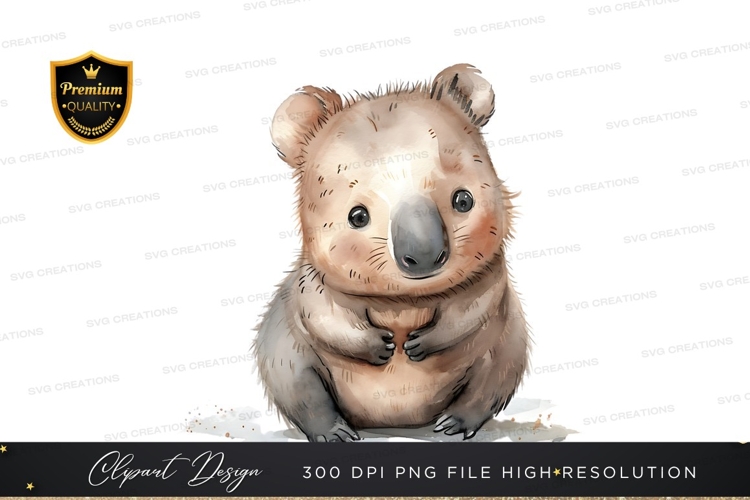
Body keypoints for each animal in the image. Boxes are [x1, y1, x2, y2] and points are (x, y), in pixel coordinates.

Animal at [252, 64, 531, 442]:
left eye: (463, 199)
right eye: (357, 216)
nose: (424, 256)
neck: (402, 302)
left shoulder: (488, 276)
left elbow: (473, 311)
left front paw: (420, 344)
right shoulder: (315, 286)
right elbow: (324, 317)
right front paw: (379, 345)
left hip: (505, 349)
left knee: (488, 386)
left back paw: (454, 423)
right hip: (288, 356)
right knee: (303, 394)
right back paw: (334, 431)